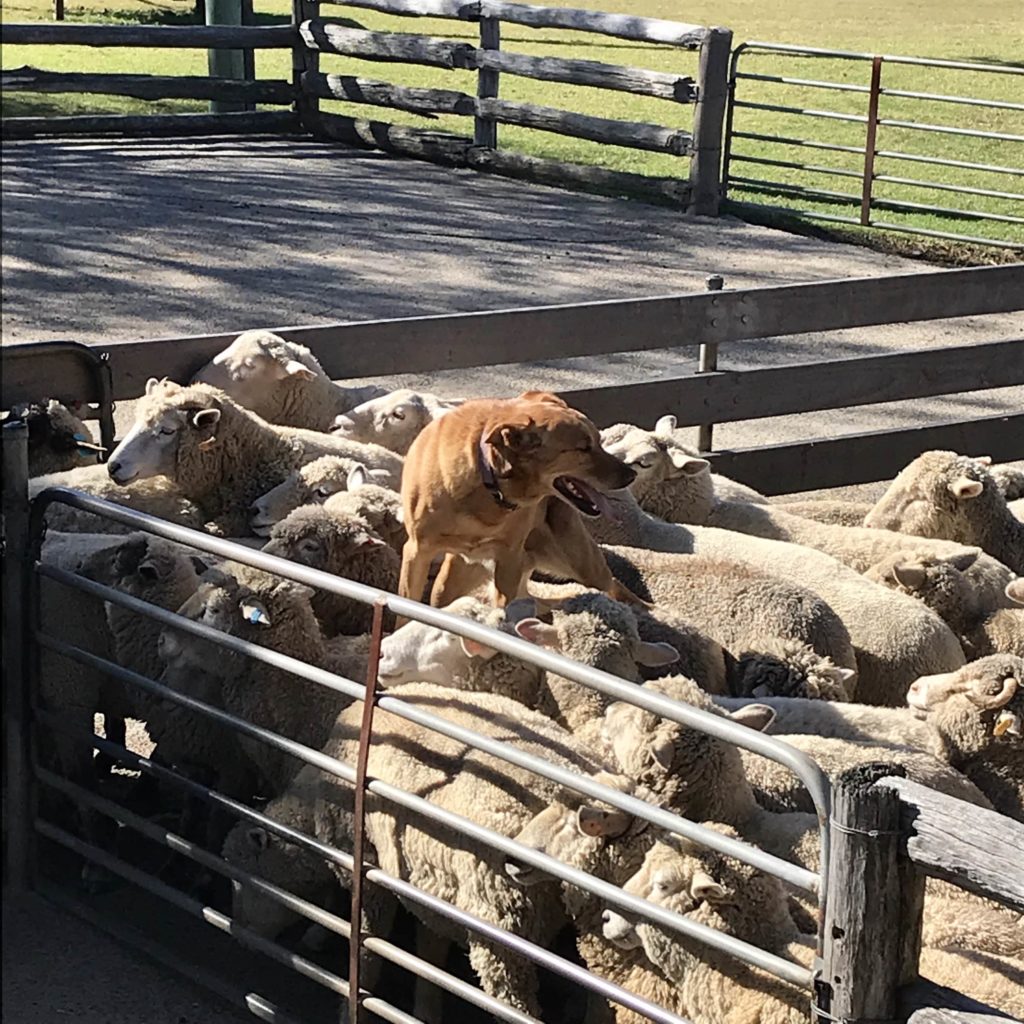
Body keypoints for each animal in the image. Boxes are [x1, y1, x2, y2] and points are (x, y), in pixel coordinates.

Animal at [399, 389, 647, 610]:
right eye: (583, 448)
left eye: (599, 441)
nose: (631, 475)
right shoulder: (417, 551)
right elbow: (407, 605)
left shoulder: (509, 558)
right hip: (455, 576)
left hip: (579, 561)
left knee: (612, 584)